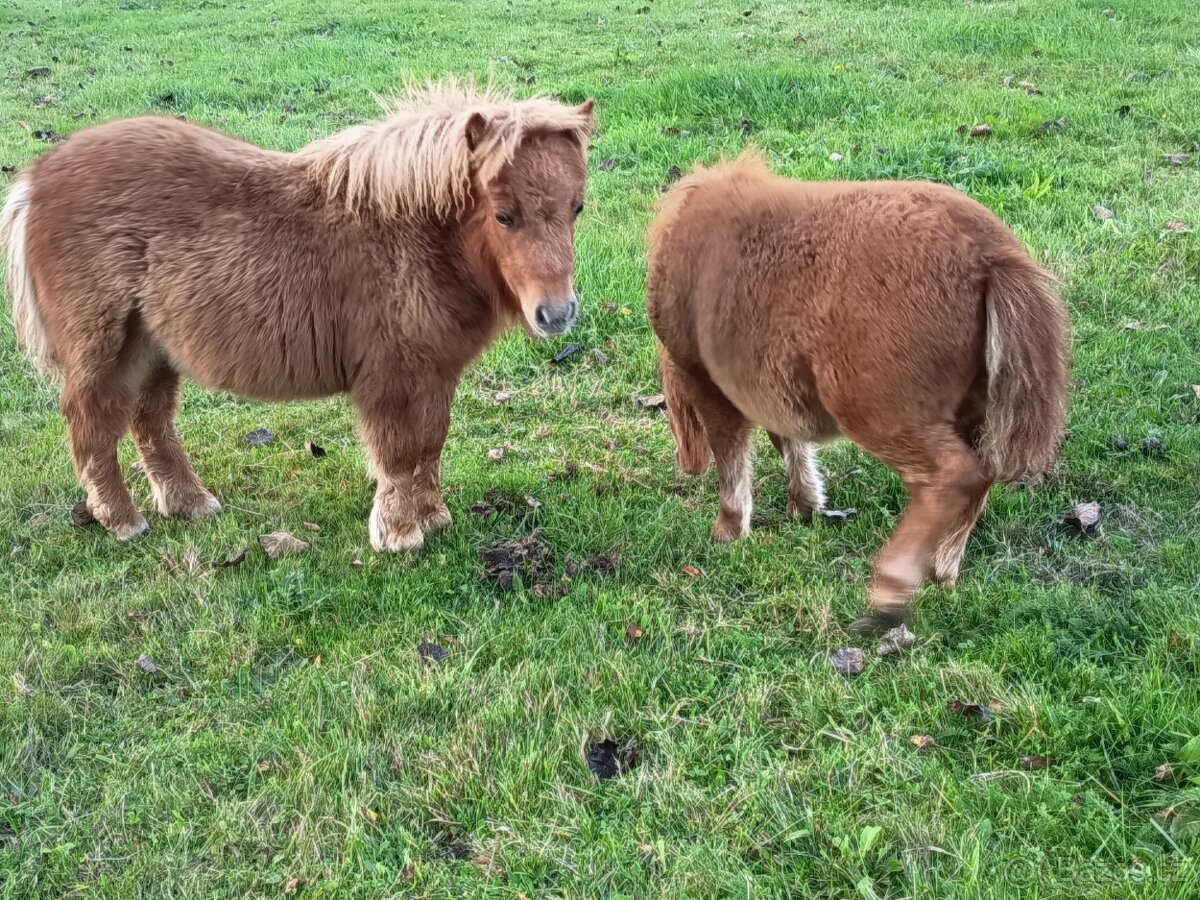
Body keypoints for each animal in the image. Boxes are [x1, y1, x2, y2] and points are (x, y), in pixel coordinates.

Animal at [1, 81, 594, 553]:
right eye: (504, 215)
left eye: (578, 207)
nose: (556, 314)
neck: (411, 237)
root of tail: (36, 180)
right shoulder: (394, 376)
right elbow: (400, 453)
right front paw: (399, 536)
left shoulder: (433, 372)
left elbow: (429, 444)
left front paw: (433, 518)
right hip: (105, 347)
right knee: (92, 423)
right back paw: (123, 522)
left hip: (153, 346)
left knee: (150, 421)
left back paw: (190, 503)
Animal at [647, 153, 1070, 634]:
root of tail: (993, 258)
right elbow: (787, 439)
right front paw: (806, 505)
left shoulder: (707, 382)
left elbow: (732, 455)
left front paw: (729, 530)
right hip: (970, 412)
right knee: (981, 477)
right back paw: (942, 572)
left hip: (878, 413)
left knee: (954, 476)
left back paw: (890, 595)